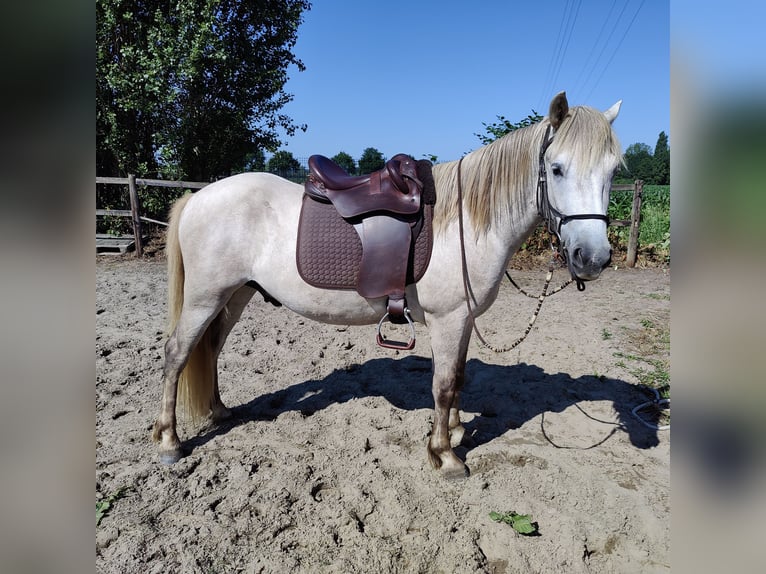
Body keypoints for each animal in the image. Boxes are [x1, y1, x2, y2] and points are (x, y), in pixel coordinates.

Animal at [152, 92, 624, 480]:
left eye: (611, 172)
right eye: (556, 169)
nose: (593, 258)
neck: (466, 219)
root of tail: (197, 197)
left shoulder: (463, 320)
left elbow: (459, 377)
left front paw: (455, 429)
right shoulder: (447, 319)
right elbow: (444, 383)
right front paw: (445, 455)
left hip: (236, 295)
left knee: (210, 348)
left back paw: (218, 411)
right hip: (205, 297)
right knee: (177, 353)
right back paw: (170, 441)